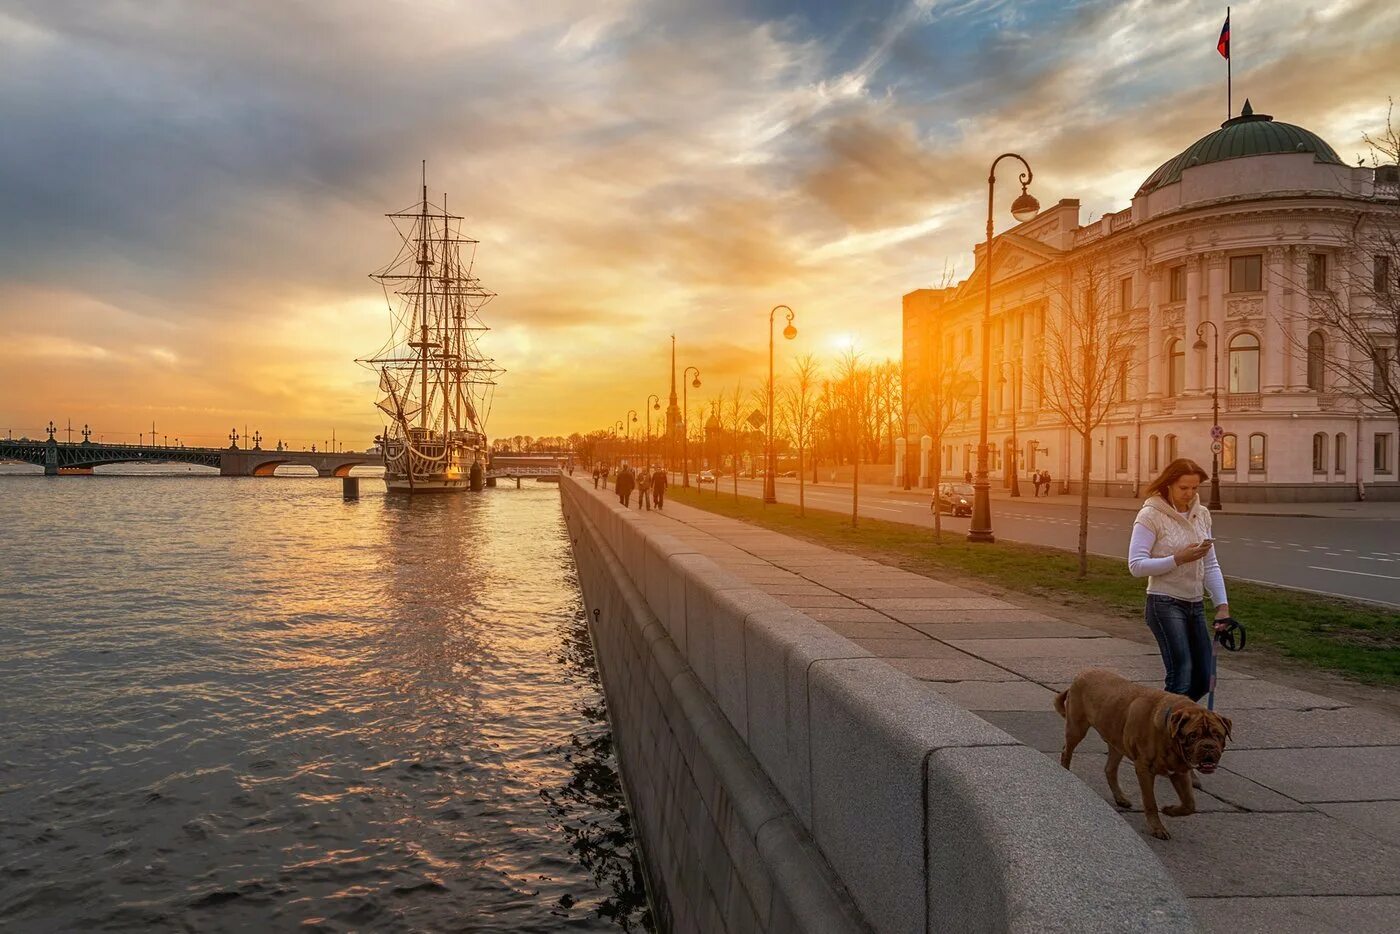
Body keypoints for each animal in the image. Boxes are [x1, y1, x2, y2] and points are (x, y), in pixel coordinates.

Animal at [1052, 669, 1232, 845]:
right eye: (1193, 736)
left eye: (1218, 735)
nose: (1208, 746)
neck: (1168, 737)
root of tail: (1081, 673)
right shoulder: (1145, 769)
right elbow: (1150, 801)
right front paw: (1157, 827)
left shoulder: (1180, 772)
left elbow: (1189, 804)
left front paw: (1170, 810)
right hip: (1077, 728)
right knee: (1066, 751)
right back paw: (1066, 771)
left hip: (1117, 742)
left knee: (1110, 769)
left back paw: (1120, 797)